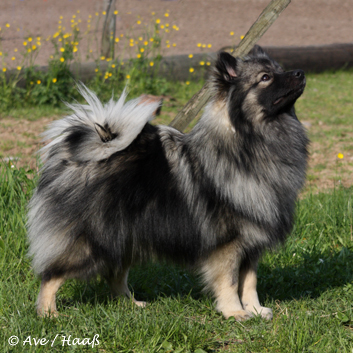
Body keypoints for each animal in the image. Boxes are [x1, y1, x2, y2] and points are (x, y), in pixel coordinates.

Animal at [26, 46, 308, 320]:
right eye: (265, 78)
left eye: (280, 69)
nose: (300, 73)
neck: (252, 140)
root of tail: (79, 153)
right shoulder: (228, 244)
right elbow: (229, 281)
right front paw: (235, 312)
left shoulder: (251, 243)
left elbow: (249, 282)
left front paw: (256, 310)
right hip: (91, 242)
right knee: (51, 275)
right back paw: (48, 313)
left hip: (124, 237)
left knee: (115, 275)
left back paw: (131, 304)